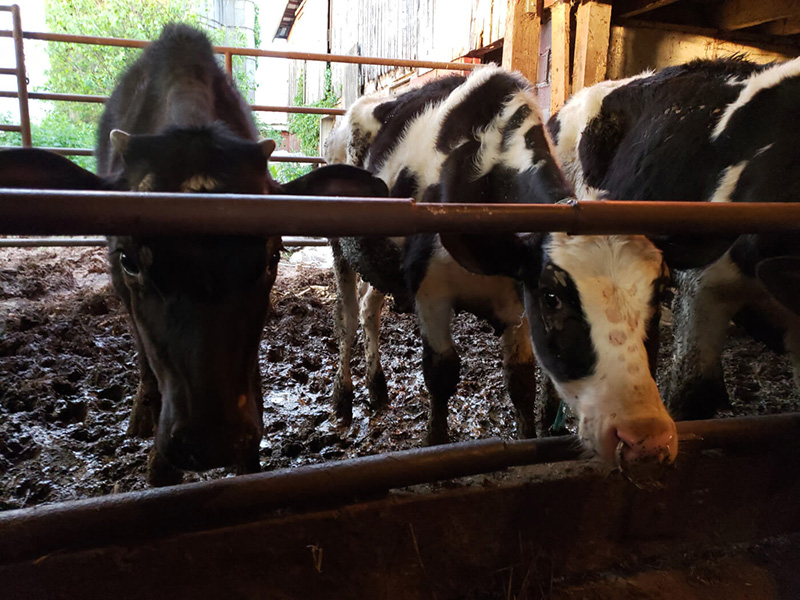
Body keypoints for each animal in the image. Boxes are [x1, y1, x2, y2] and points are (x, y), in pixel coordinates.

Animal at [325, 65, 678, 470]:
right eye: (552, 297)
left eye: (660, 295)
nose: (644, 439)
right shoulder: (431, 290)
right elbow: (441, 372)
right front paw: (435, 444)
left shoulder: (517, 295)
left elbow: (521, 381)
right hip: (339, 245)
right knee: (347, 317)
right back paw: (343, 398)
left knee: (370, 308)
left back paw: (377, 386)